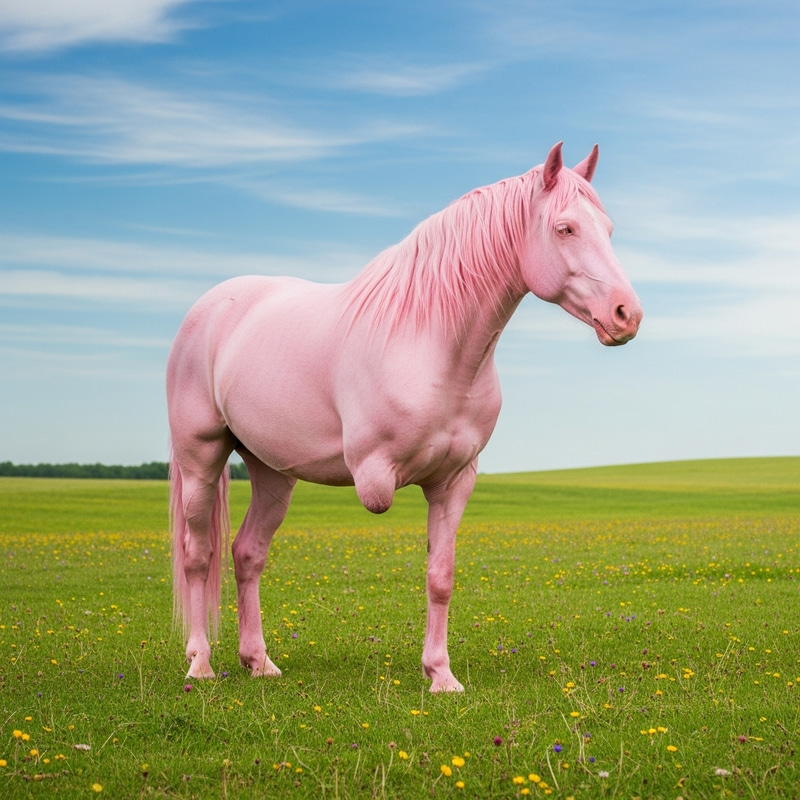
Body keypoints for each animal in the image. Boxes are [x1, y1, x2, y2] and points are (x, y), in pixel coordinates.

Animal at [167, 142, 642, 692]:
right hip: (201, 459)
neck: (435, 346)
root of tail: (209, 307)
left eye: (608, 229)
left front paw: (441, 675)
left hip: (271, 471)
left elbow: (441, 575)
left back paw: (258, 661)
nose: (627, 314)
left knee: (247, 553)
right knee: (197, 554)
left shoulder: (454, 482)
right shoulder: (379, 475)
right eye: (566, 228)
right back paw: (200, 663)